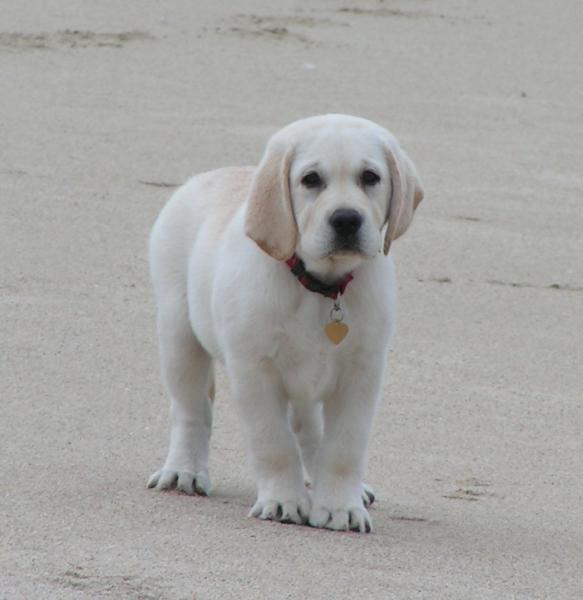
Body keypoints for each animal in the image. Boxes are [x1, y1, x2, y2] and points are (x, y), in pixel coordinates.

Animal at [147, 115, 424, 532]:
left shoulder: (362, 374)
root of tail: (208, 176)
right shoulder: (255, 372)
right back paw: (184, 472)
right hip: (180, 336)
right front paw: (283, 501)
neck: (320, 287)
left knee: (309, 431)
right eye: (311, 179)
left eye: (370, 177)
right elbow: (273, 443)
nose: (346, 219)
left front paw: (341, 506)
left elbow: (344, 447)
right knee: (191, 409)